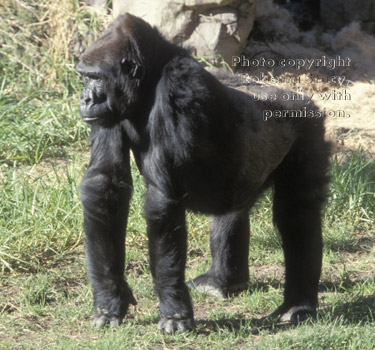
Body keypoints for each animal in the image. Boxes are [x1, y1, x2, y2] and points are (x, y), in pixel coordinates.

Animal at [75, 14, 328, 334]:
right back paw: (223, 281)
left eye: (96, 77)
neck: (150, 78)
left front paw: (173, 310)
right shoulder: (109, 114)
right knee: (234, 208)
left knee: (297, 214)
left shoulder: (178, 88)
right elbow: (104, 185)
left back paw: (298, 303)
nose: (85, 99)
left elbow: (161, 200)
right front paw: (109, 299)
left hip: (308, 127)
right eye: (84, 76)